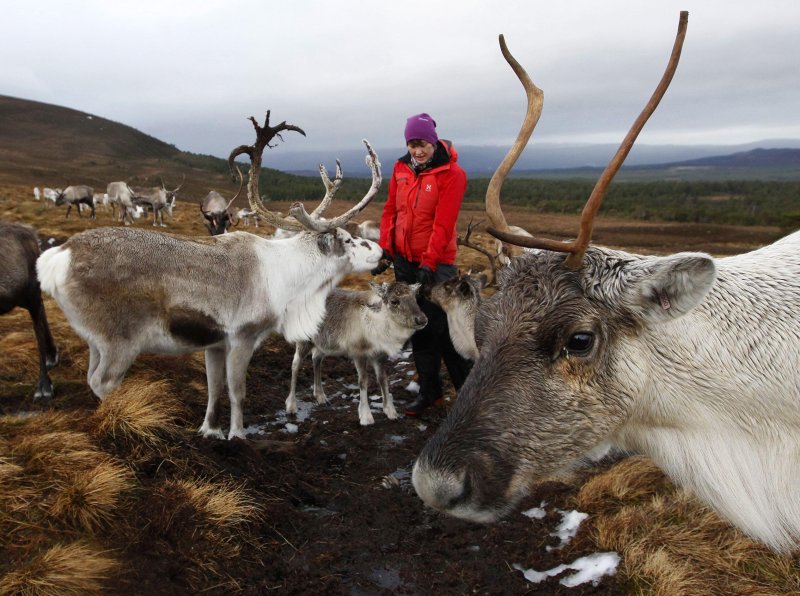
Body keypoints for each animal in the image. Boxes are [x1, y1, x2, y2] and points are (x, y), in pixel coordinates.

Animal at [286, 282, 428, 426]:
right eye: (394, 301)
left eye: (415, 298)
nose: (422, 320)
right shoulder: (358, 352)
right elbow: (363, 381)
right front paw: (366, 417)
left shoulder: (379, 356)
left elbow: (383, 379)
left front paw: (390, 412)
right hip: (304, 339)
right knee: (295, 364)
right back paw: (291, 406)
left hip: (323, 343)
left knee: (316, 359)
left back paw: (321, 397)